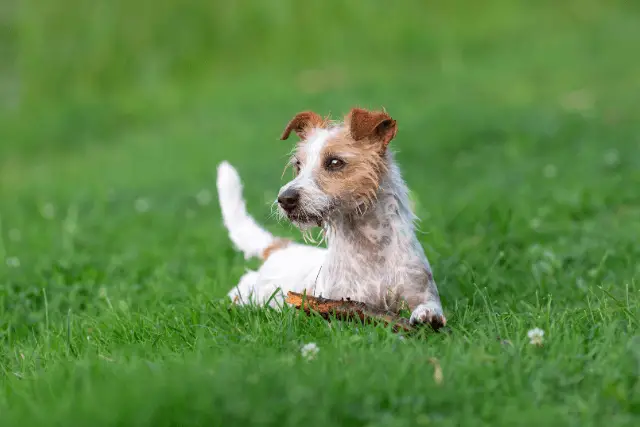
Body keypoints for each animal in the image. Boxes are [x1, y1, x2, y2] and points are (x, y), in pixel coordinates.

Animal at [215, 108, 444, 330]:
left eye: (334, 162)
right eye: (298, 165)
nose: (284, 199)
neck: (370, 247)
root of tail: (280, 247)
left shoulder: (420, 290)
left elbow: (429, 306)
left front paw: (428, 316)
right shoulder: (339, 302)